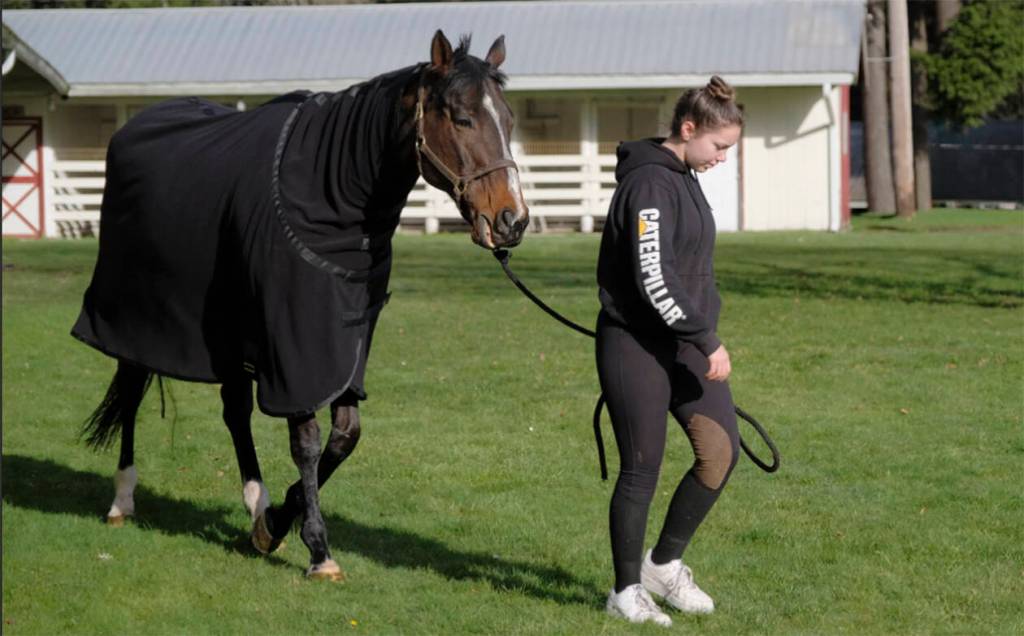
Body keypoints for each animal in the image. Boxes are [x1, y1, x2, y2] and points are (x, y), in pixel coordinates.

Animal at [71, 31, 529, 581]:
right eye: (461, 118)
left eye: (509, 120)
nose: (511, 220)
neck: (330, 191)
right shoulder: (294, 346)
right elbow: (306, 441)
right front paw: (318, 549)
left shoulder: (345, 345)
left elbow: (345, 436)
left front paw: (273, 523)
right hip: (140, 318)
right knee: (133, 390)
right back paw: (122, 499)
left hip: (227, 332)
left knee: (234, 410)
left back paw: (255, 502)